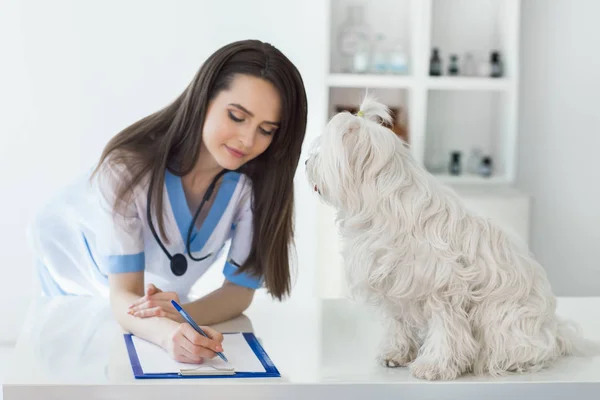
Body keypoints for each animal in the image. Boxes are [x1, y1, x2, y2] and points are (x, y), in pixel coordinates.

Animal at [308, 94, 588, 382]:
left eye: (321, 154)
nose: (306, 163)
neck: (384, 204)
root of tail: (553, 332)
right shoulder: (395, 285)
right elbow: (399, 322)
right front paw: (397, 352)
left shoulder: (443, 285)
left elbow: (446, 329)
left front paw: (435, 365)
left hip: (504, 318)